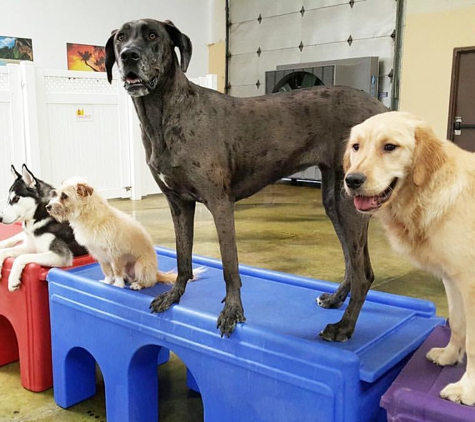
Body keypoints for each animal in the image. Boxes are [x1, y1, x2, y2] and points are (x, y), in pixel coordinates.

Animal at [46, 176, 180, 288]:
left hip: (140, 265)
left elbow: (116, 271)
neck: (89, 215)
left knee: (149, 282)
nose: (48, 207)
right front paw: (107, 282)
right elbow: (107, 271)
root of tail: (156, 273)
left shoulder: (115, 254)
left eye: (64, 196)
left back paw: (138, 284)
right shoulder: (100, 254)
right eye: (56, 194)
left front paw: (118, 285)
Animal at [104, 19, 386, 342]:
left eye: (152, 35)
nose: (129, 55)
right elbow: (182, 258)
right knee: (356, 264)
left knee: (362, 274)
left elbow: (230, 266)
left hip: (349, 206)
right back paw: (336, 299)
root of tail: (382, 110)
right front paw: (174, 295)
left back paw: (344, 327)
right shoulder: (179, 204)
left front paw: (232, 312)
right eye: (120, 38)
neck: (167, 113)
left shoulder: (220, 204)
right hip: (336, 202)